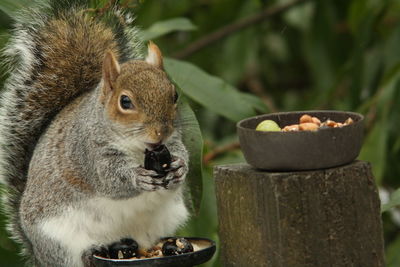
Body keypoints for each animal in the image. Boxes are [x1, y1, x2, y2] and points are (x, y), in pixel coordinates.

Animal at [0, 1, 190, 266]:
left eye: (174, 95)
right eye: (125, 102)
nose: (160, 133)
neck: (139, 148)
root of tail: (39, 255)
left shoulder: (172, 142)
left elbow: (181, 153)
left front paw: (180, 167)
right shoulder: (88, 151)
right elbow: (109, 178)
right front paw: (137, 178)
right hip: (58, 239)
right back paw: (91, 252)